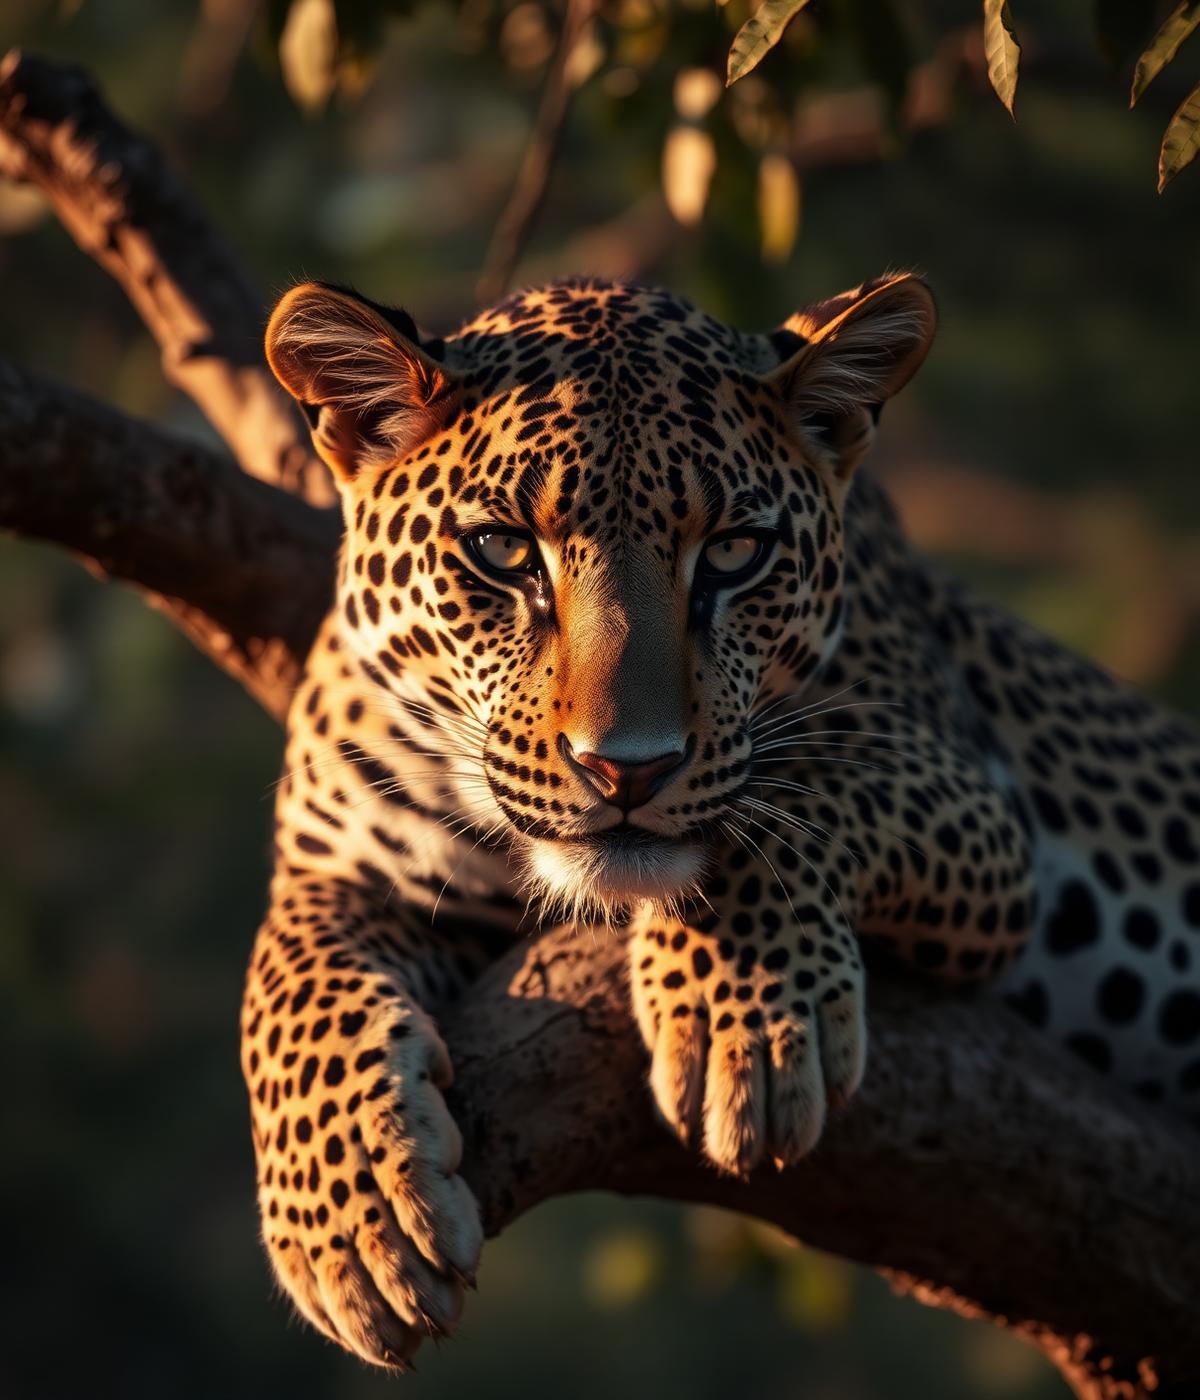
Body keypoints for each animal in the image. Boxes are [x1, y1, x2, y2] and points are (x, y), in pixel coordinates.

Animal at [241, 272, 1200, 1369]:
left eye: (736, 552)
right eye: (502, 550)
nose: (627, 767)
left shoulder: (976, 801)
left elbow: (788, 801)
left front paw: (747, 1027)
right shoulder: (342, 870)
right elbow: (284, 989)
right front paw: (350, 1226)